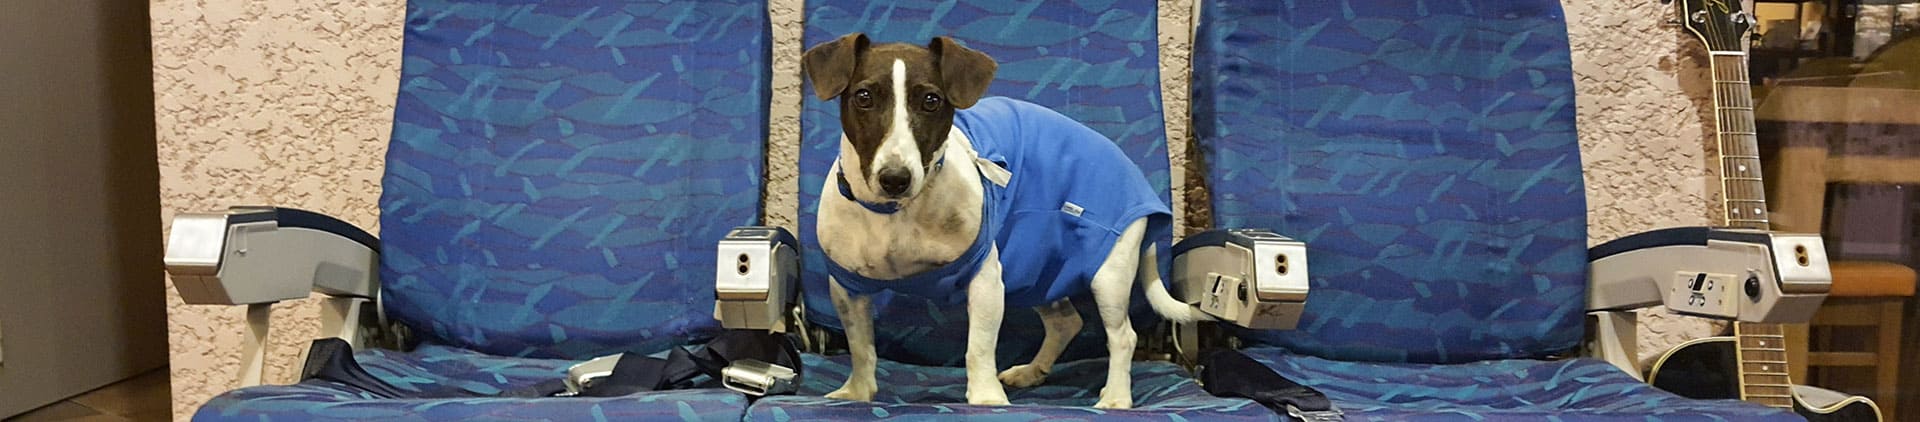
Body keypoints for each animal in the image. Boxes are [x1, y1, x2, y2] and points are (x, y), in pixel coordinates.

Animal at [794, 33, 1198, 408]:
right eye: (863, 97)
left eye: (931, 100)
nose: (895, 178)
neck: (896, 214)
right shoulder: (848, 287)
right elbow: (861, 347)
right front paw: (857, 392)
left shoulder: (985, 279)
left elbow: (979, 347)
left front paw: (986, 398)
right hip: (1034, 267)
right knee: (1065, 321)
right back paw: (1033, 371)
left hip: (1109, 272)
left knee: (1122, 337)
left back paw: (1115, 396)